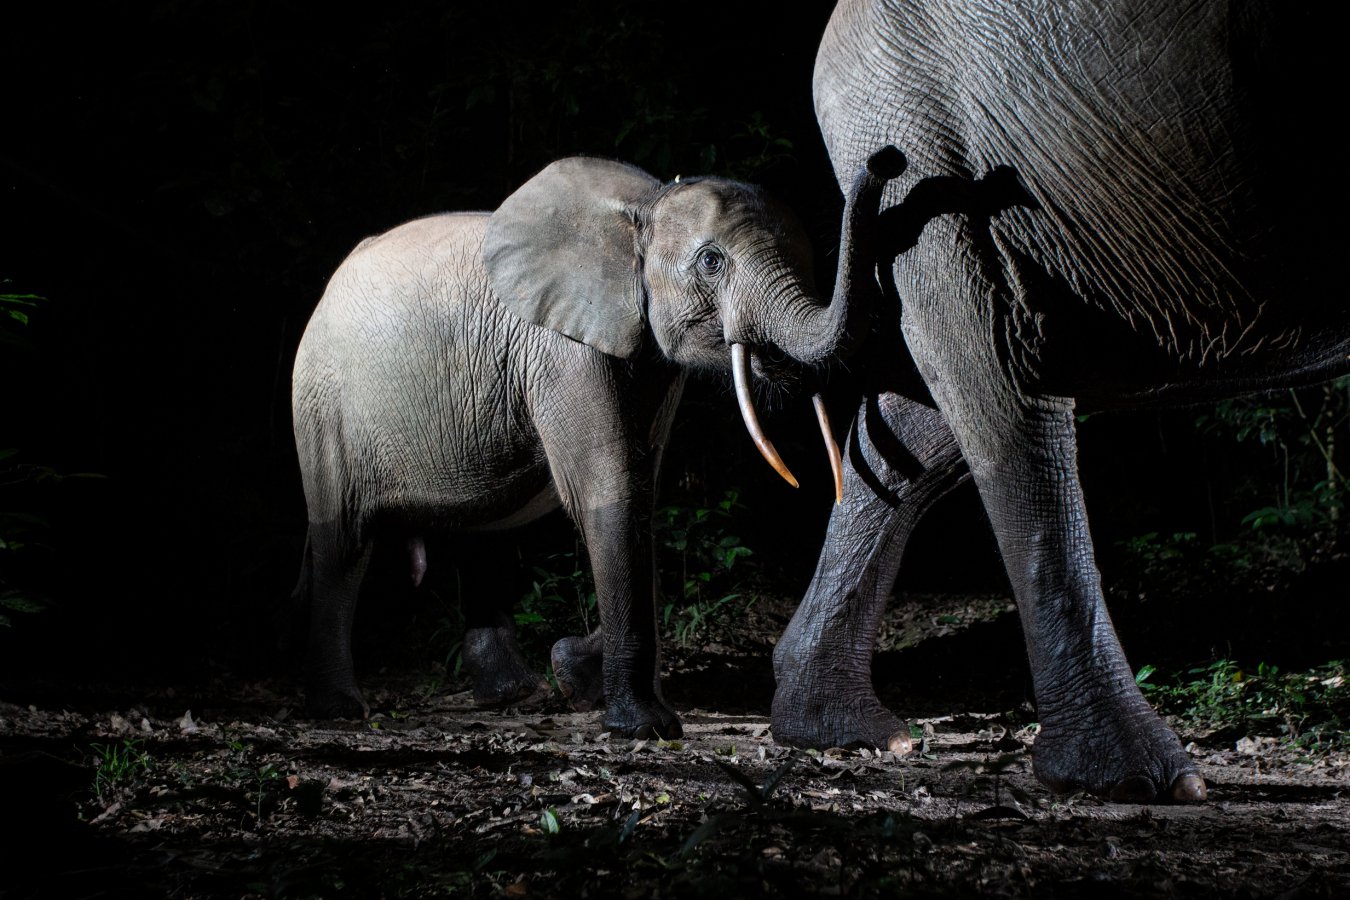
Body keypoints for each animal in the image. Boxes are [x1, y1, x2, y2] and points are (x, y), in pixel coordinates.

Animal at [290, 152, 901, 738]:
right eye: (711, 262)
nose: (885, 162)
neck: (645, 207)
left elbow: (643, 495)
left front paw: (576, 676)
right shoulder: (561, 349)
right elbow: (612, 492)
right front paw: (644, 727)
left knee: (482, 530)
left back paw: (514, 696)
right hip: (322, 400)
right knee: (343, 541)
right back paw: (340, 710)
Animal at [771, 0, 1347, 801]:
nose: (884, 165)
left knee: (932, 420)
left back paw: (844, 729)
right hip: (934, 138)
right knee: (1003, 387)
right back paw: (1135, 777)